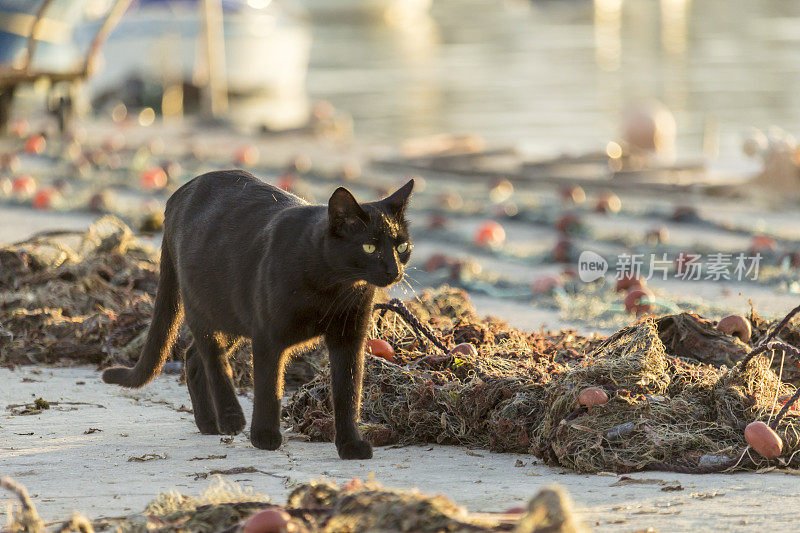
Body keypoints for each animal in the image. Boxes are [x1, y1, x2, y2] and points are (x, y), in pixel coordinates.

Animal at [104, 169, 416, 458]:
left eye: (402, 246)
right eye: (369, 247)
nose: (394, 270)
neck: (333, 287)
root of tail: (180, 192)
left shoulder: (348, 338)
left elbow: (348, 392)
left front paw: (350, 445)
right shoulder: (268, 336)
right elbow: (269, 387)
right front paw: (264, 437)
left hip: (231, 316)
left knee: (192, 356)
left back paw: (208, 423)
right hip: (202, 308)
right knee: (213, 359)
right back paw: (230, 418)